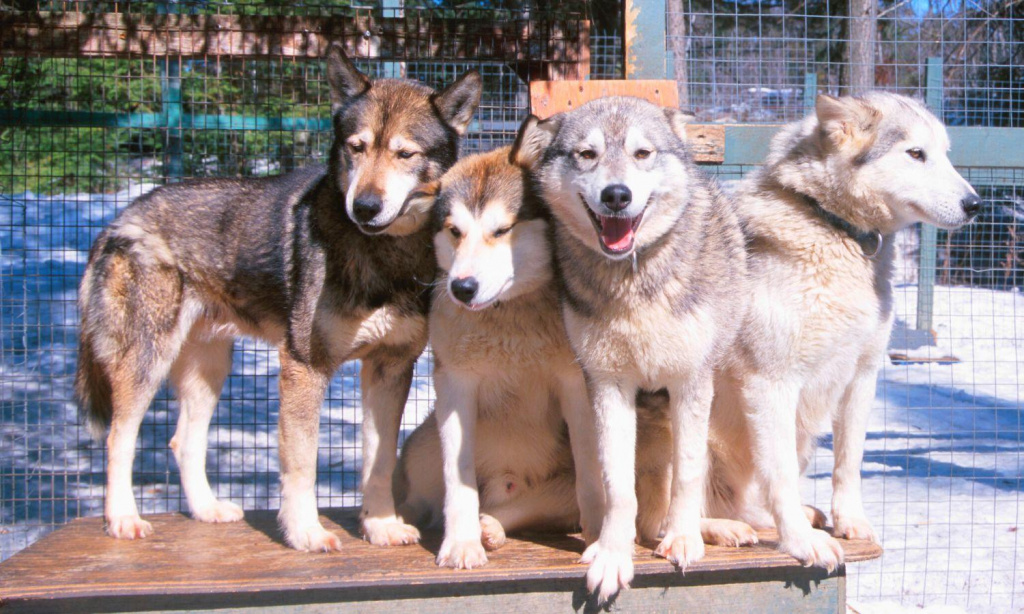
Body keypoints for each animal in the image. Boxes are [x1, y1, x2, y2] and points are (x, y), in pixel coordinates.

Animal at [75, 43, 483, 552]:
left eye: (405, 153)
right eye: (356, 147)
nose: (364, 207)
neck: (384, 254)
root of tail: (117, 220)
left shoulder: (389, 369)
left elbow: (379, 461)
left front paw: (380, 526)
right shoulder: (303, 368)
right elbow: (301, 462)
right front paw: (305, 532)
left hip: (209, 369)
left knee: (182, 442)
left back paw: (208, 510)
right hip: (148, 361)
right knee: (118, 439)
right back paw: (123, 519)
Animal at [391, 147, 720, 564]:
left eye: (502, 231)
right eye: (454, 231)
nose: (462, 288)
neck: (508, 316)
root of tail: (507, 479)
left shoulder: (575, 385)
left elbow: (592, 482)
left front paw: (599, 539)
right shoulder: (455, 386)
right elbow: (458, 479)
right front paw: (460, 545)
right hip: (423, 448)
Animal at [520, 98, 753, 601]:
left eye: (642, 153)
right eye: (587, 155)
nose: (616, 195)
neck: (633, 279)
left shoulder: (690, 384)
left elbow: (686, 476)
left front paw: (683, 541)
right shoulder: (607, 386)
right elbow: (617, 487)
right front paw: (611, 555)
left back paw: (715, 530)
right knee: (645, 519)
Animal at [704, 92, 983, 568]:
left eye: (945, 154)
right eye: (916, 153)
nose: (975, 205)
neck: (833, 226)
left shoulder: (862, 377)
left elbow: (848, 463)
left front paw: (850, 523)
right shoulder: (770, 384)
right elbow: (780, 474)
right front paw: (802, 544)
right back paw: (720, 529)